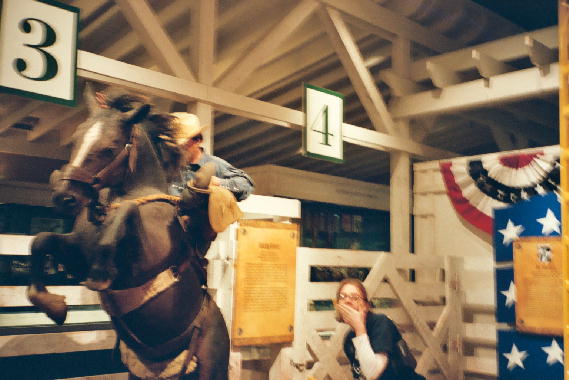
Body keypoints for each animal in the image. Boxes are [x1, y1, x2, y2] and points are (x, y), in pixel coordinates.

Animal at [26, 87, 231, 380]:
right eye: (75, 140)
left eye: (109, 148)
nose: (64, 197)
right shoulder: (77, 259)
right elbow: (42, 241)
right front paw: (53, 305)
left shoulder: (142, 264)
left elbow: (129, 211)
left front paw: (101, 274)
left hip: (212, 368)